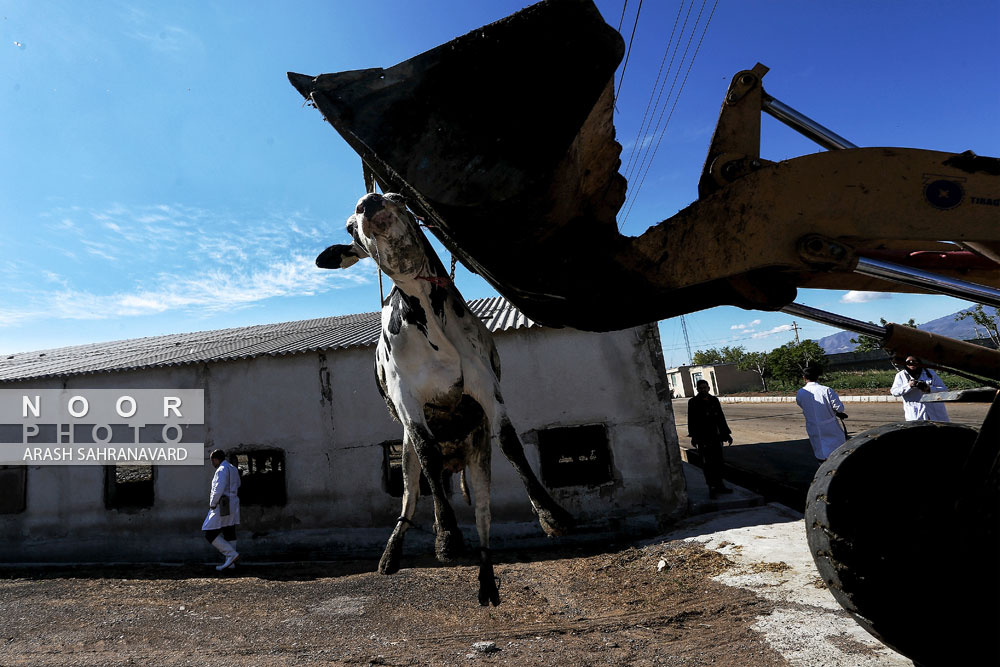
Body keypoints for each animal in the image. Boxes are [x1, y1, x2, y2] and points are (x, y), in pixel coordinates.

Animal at [316, 192, 576, 604]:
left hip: (477, 455)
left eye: (398, 197)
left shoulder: (484, 382)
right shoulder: (406, 397)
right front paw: (447, 537)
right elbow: (429, 455)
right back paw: (391, 555)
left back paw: (487, 583)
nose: (368, 202)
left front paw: (552, 515)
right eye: (349, 228)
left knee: (483, 515)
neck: (428, 315)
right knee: (411, 494)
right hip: (405, 457)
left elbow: (511, 442)